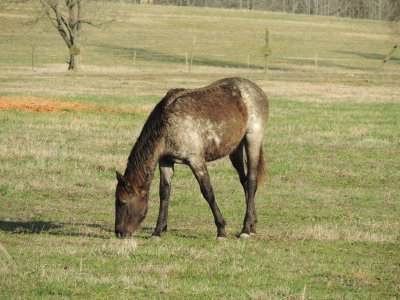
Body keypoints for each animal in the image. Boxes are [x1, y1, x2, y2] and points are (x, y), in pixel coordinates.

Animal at [114, 77, 268, 239]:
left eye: (122, 202)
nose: (119, 232)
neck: (168, 124)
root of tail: (256, 89)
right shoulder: (165, 161)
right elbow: (164, 193)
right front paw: (158, 230)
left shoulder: (196, 161)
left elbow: (208, 192)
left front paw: (221, 229)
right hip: (235, 150)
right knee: (244, 181)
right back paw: (252, 225)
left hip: (252, 141)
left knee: (251, 181)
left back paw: (246, 229)